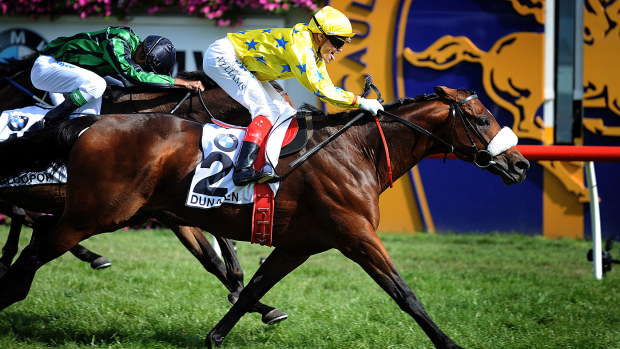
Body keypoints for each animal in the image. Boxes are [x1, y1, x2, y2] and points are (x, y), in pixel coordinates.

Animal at [0, 54, 290, 324]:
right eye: (281, 110)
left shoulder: (174, 206)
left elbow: (214, 256)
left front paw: (256, 303)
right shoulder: (167, 209)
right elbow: (213, 255)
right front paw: (252, 301)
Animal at [0, 85, 528, 346]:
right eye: (482, 118)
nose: (520, 164)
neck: (356, 152)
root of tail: (92, 124)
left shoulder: (298, 244)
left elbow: (251, 286)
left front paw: (217, 336)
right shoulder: (357, 236)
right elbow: (406, 295)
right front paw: (450, 345)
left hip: (109, 211)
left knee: (31, 245)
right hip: (91, 215)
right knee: (31, 256)